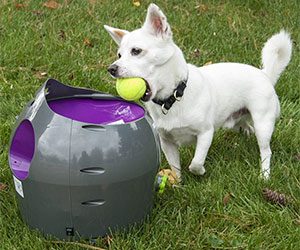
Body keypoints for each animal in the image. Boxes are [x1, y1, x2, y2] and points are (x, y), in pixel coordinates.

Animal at [104, 3, 292, 180]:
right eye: (119, 55)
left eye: (136, 51)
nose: (111, 68)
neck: (173, 97)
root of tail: (265, 74)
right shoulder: (167, 142)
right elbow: (175, 168)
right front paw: (178, 184)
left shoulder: (206, 133)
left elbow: (195, 162)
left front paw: (200, 172)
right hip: (238, 119)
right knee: (245, 125)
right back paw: (246, 133)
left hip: (263, 123)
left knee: (266, 151)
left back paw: (264, 175)